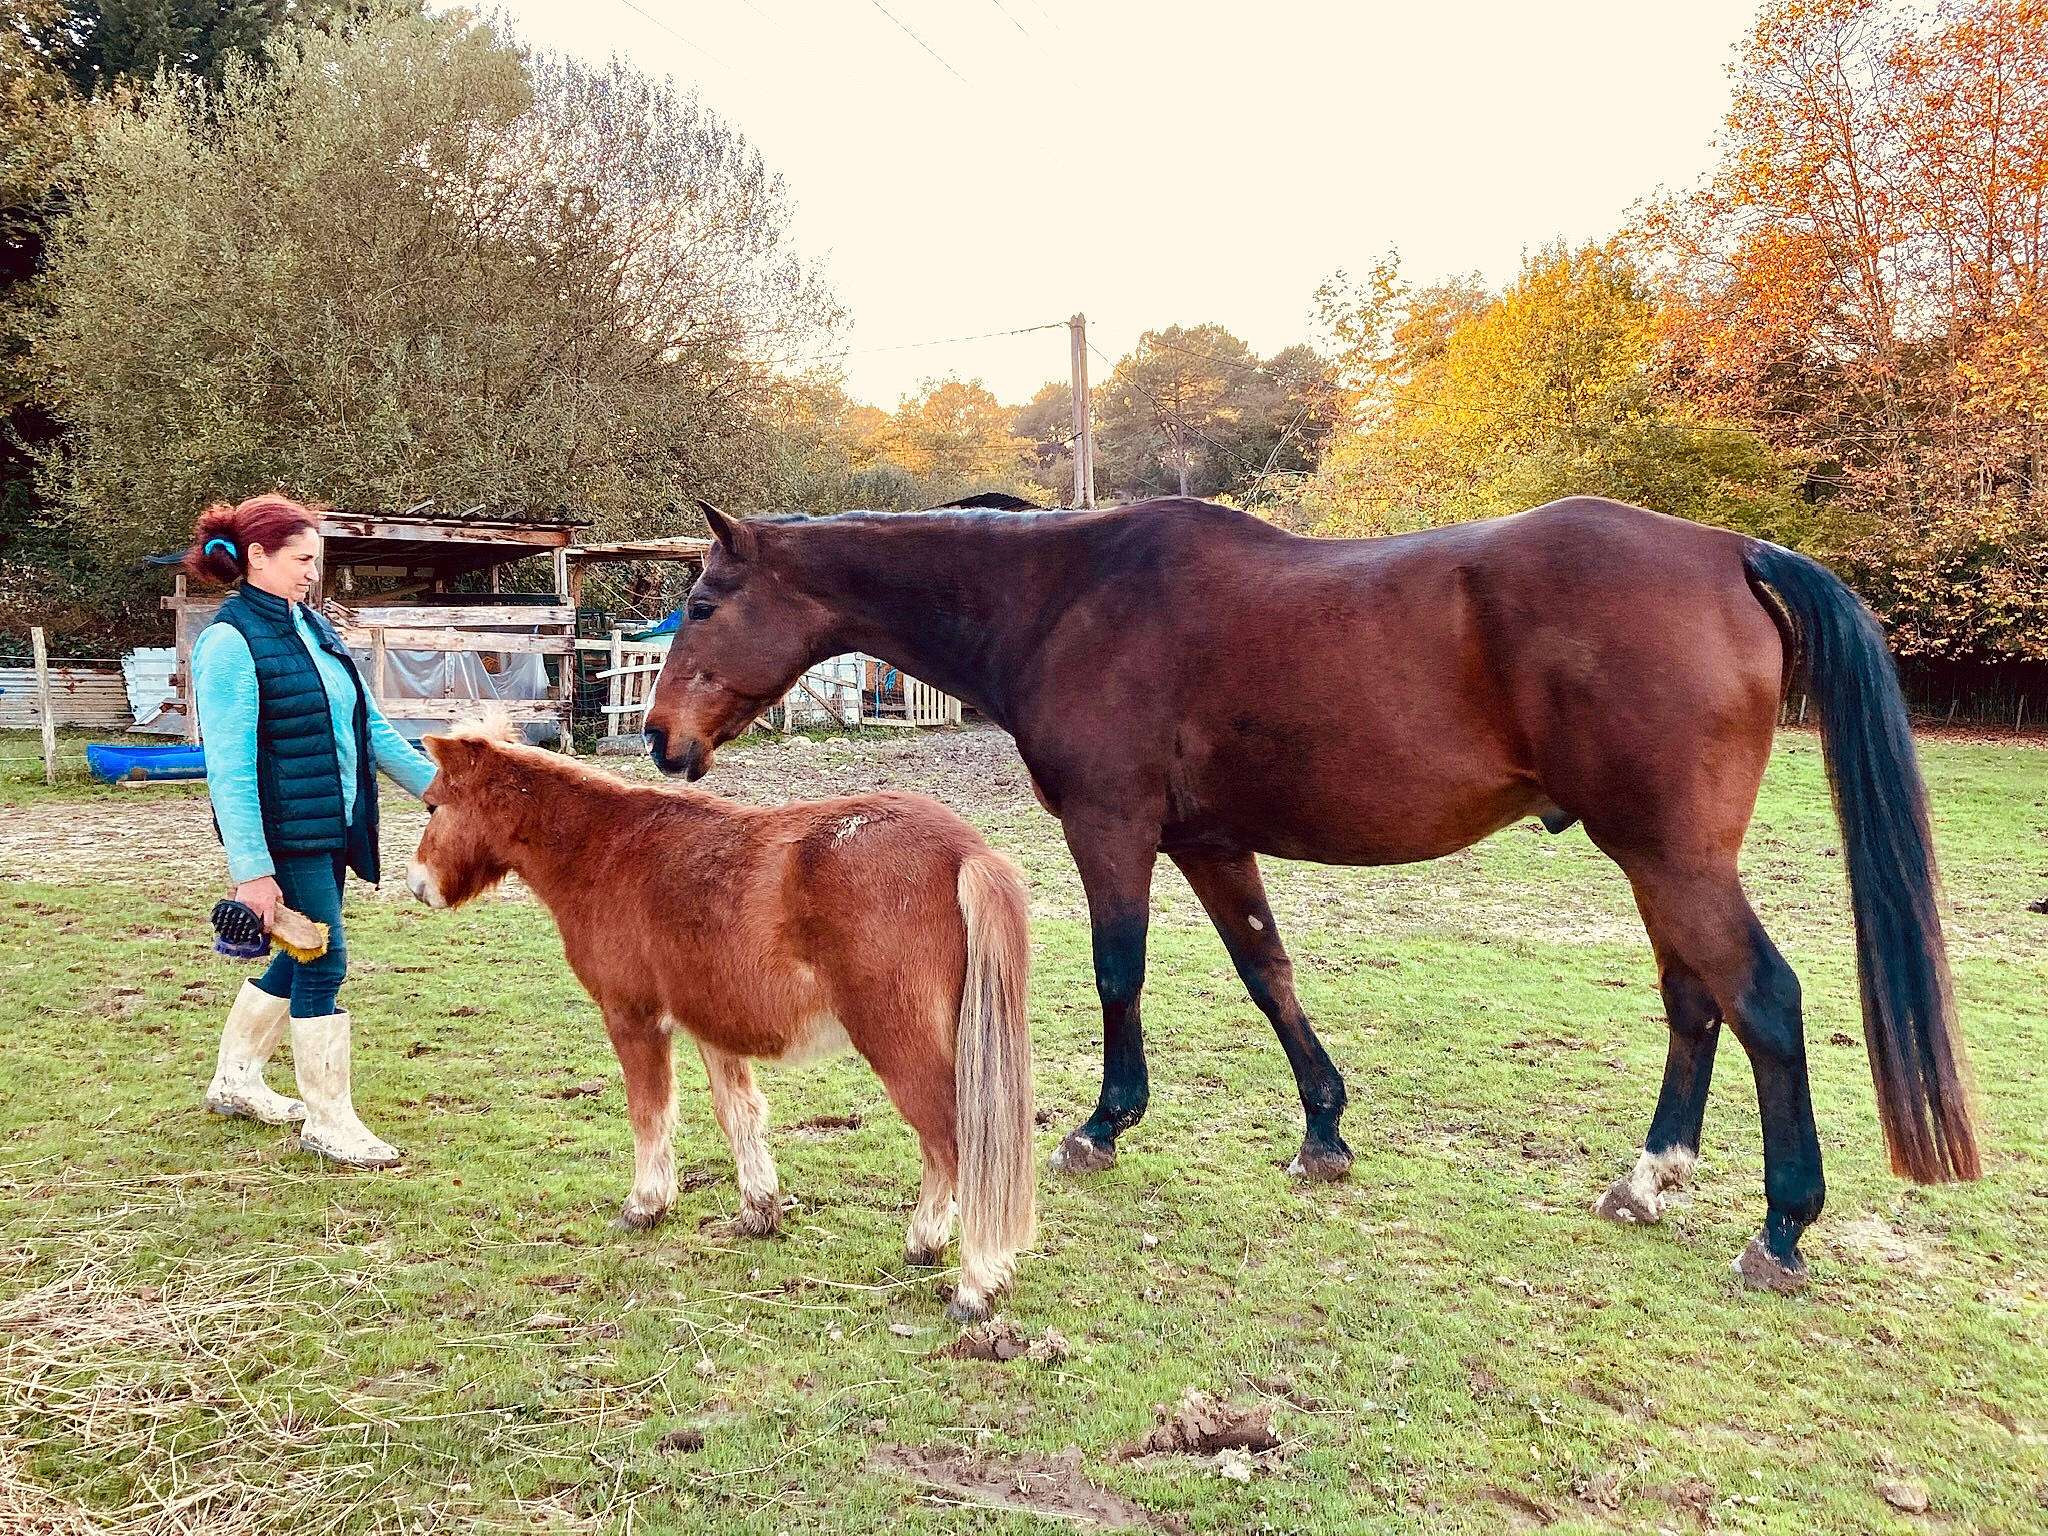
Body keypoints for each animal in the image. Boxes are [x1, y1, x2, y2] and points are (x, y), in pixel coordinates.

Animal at [404, 720, 1036, 1320]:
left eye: (433, 804)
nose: (417, 885)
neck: (605, 849)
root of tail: (964, 852)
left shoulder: (633, 1019)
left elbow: (649, 1114)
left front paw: (645, 1206)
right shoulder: (711, 1026)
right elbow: (739, 1116)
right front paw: (759, 1213)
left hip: (900, 1046)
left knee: (956, 1147)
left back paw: (974, 1285)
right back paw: (925, 1247)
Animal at [639, 494, 1981, 1291]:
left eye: (702, 602)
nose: (657, 740)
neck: (1068, 596)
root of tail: (1726, 552)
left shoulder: (1113, 831)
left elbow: (1119, 973)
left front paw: (1101, 1125)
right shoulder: (1208, 844)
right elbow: (1265, 971)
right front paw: (1324, 1129)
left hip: (1671, 859)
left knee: (1763, 1001)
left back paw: (1781, 1226)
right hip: (1658, 864)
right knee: (1694, 1004)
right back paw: (1648, 1177)